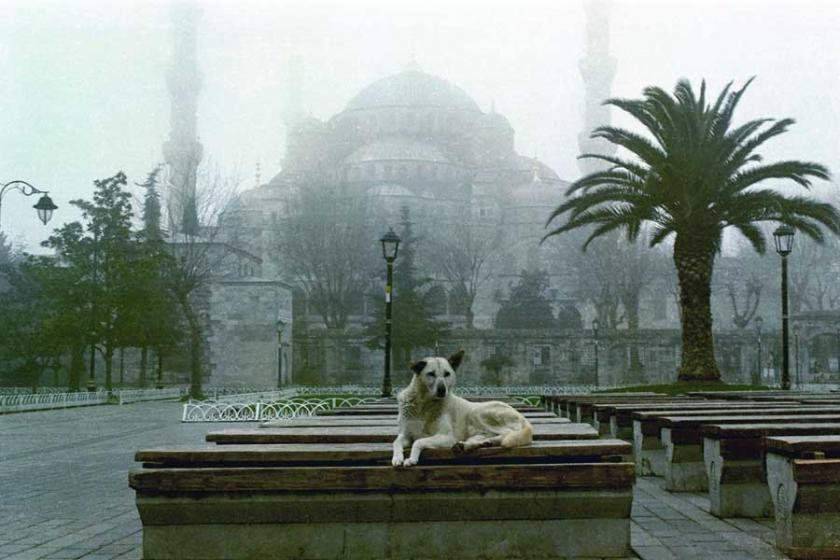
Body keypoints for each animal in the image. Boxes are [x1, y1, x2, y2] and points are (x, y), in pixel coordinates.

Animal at [392, 350, 532, 468]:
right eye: (431, 374)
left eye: (447, 374)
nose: (442, 390)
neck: (424, 405)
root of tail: (524, 419)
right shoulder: (406, 435)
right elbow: (396, 441)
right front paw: (397, 458)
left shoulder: (447, 437)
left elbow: (418, 441)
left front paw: (412, 459)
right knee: (492, 437)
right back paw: (474, 444)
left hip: (478, 412)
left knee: (507, 434)